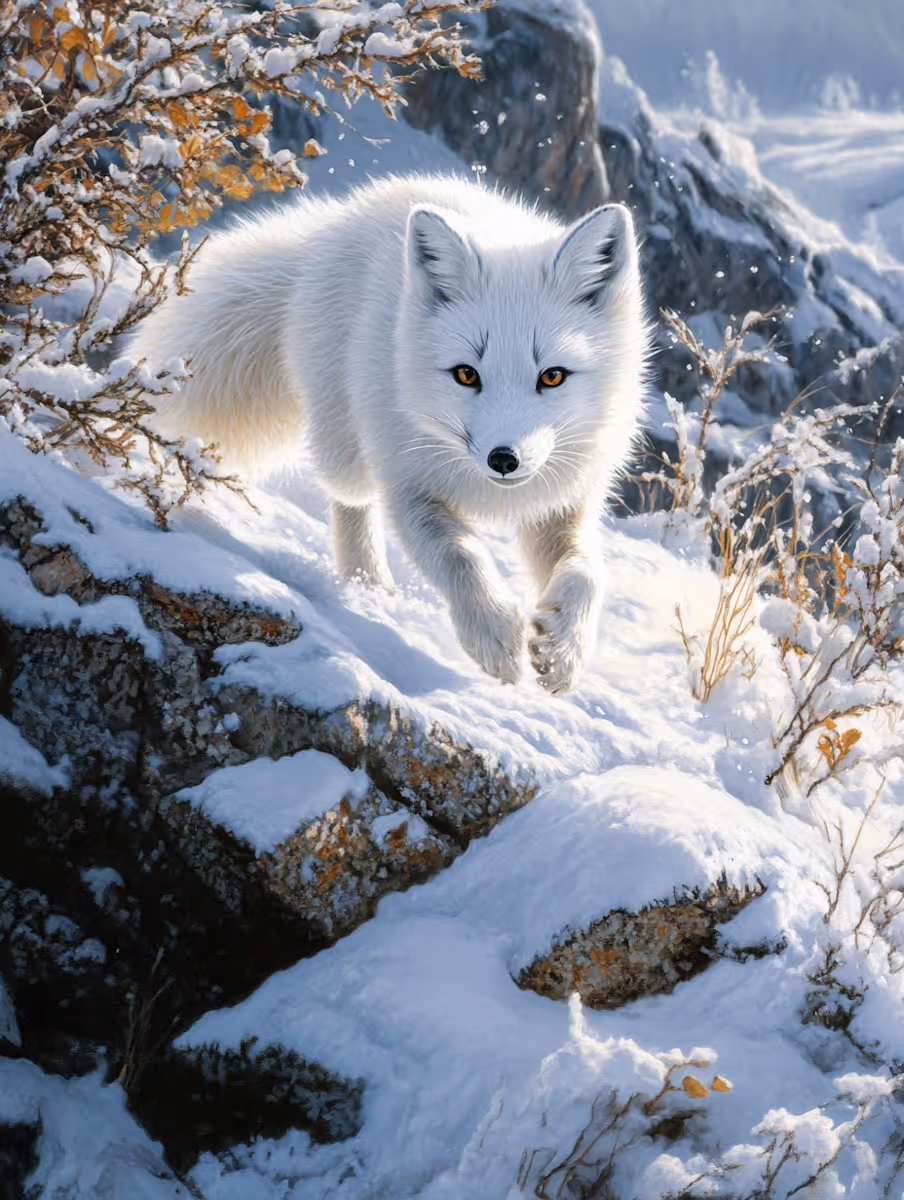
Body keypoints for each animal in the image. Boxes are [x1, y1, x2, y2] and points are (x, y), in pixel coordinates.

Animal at [132, 174, 648, 693]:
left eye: (552, 376)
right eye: (466, 374)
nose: (504, 459)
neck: (492, 496)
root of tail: (330, 226)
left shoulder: (564, 502)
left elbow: (587, 571)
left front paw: (563, 652)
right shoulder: (409, 487)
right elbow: (459, 556)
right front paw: (495, 637)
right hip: (351, 449)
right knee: (351, 500)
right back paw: (367, 584)